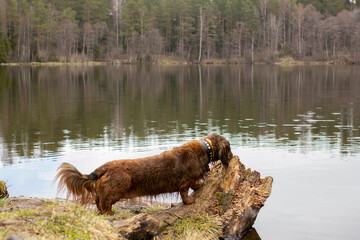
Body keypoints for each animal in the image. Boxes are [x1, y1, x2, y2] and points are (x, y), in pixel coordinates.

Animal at [54, 134, 232, 215]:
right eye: (229, 148)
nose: (231, 157)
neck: (204, 149)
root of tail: (102, 168)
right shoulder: (185, 182)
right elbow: (185, 191)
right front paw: (189, 200)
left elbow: (195, 184)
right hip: (116, 190)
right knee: (104, 203)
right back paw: (110, 214)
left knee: (98, 201)